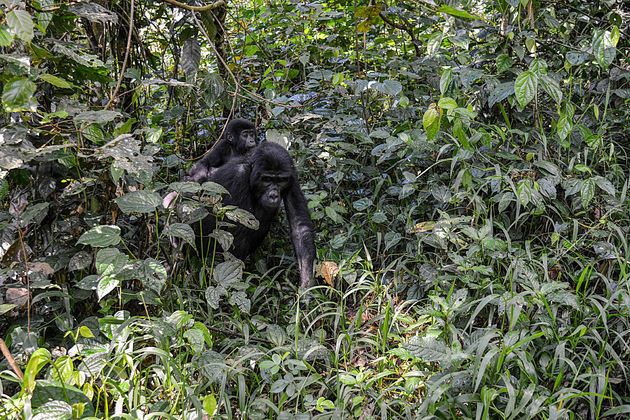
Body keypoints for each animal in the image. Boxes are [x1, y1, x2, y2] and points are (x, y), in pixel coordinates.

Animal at [195, 141, 318, 288]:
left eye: (281, 180)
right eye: (267, 179)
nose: (273, 195)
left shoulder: (292, 177)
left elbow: (299, 226)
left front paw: (307, 284)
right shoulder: (238, 176)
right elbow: (234, 231)